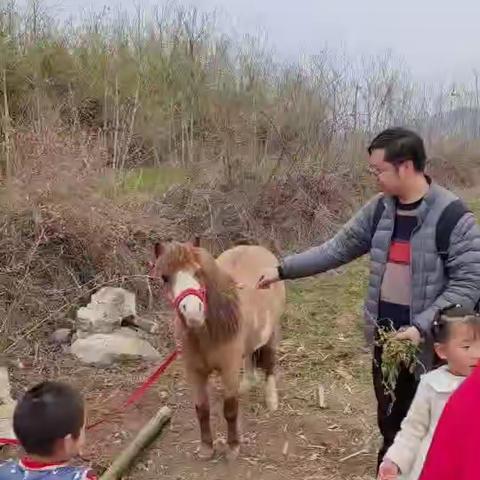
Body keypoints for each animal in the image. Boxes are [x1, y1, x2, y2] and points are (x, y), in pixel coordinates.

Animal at [150, 238, 284, 460]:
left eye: (198, 272)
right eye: (165, 277)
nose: (193, 313)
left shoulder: (228, 370)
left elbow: (230, 410)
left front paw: (233, 447)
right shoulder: (195, 372)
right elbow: (202, 409)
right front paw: (206, 448)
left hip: (272, 333)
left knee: (270, 364)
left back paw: (272, 401)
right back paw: (247, 383)